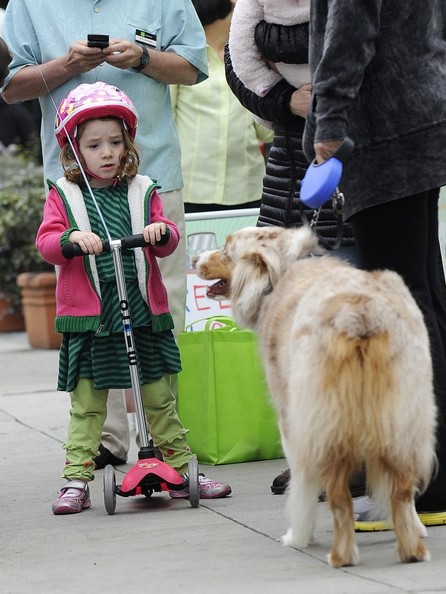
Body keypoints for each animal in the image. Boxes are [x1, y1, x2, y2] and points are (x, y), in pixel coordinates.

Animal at [193, 225, 438, 564]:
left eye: (228, 252)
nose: (194, 259)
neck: (281, 270)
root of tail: (359, 312)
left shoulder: (291, 418)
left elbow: (302, 482)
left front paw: (298, 534)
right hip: (404, 414)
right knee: (401, 487)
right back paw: (412, 545)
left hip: (325, 418)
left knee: (338, 495)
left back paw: (341, 554)